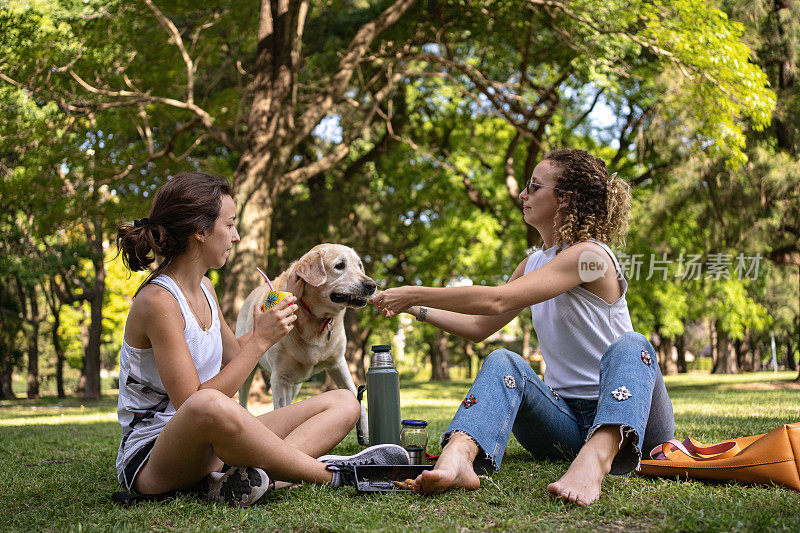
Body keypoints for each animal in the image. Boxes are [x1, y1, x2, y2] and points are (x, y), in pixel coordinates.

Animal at [236, 243, 376, 438]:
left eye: (360, 265)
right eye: (339, 265)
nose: (372, 285)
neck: (316, 322)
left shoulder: (338, 364)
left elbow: (359, 402)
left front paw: (368, 434)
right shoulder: (280, 378)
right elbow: (282, 410)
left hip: (296, 383)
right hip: (250, 372)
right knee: (243, 400)